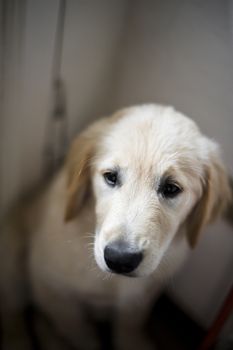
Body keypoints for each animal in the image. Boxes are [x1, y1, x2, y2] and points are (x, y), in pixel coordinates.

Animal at [0, 104, 231, 350]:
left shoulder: (142, 295)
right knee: (14, 312)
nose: (120, 259)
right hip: (11, 257)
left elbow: (128, 323)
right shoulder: (49, 284)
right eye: (110, 177)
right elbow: (76, 327)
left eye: (171, 188)